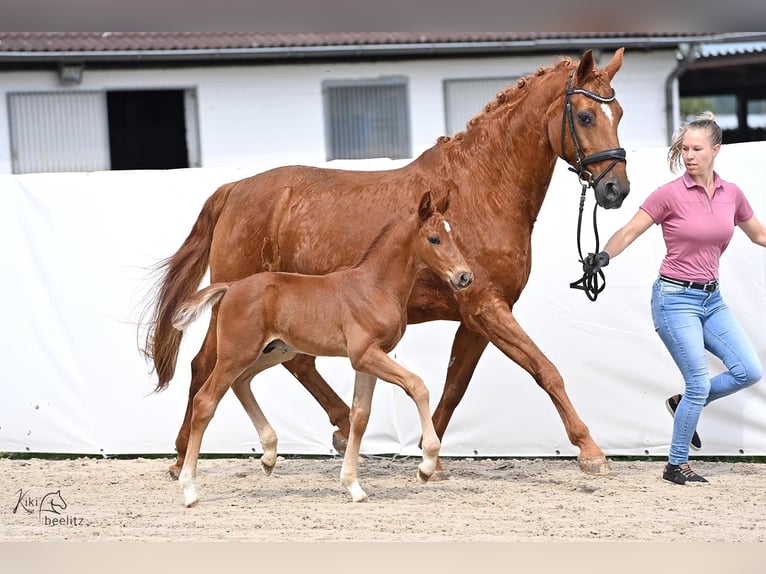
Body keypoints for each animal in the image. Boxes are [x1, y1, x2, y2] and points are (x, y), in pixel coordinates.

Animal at [172, 191, 474, 506]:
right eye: (434, 239)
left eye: (452, 235)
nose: (465, 277)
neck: (375, 287)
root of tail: (231, 287)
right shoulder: (364, 354)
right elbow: (417, 386)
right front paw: (426, 467)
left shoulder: (368, 360)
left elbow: (360, 416)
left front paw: (353, 486)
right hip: (236, 353)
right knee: (206, 401)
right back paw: (190, 489)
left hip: (274, 351)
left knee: (241, 383)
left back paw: (268, 456)